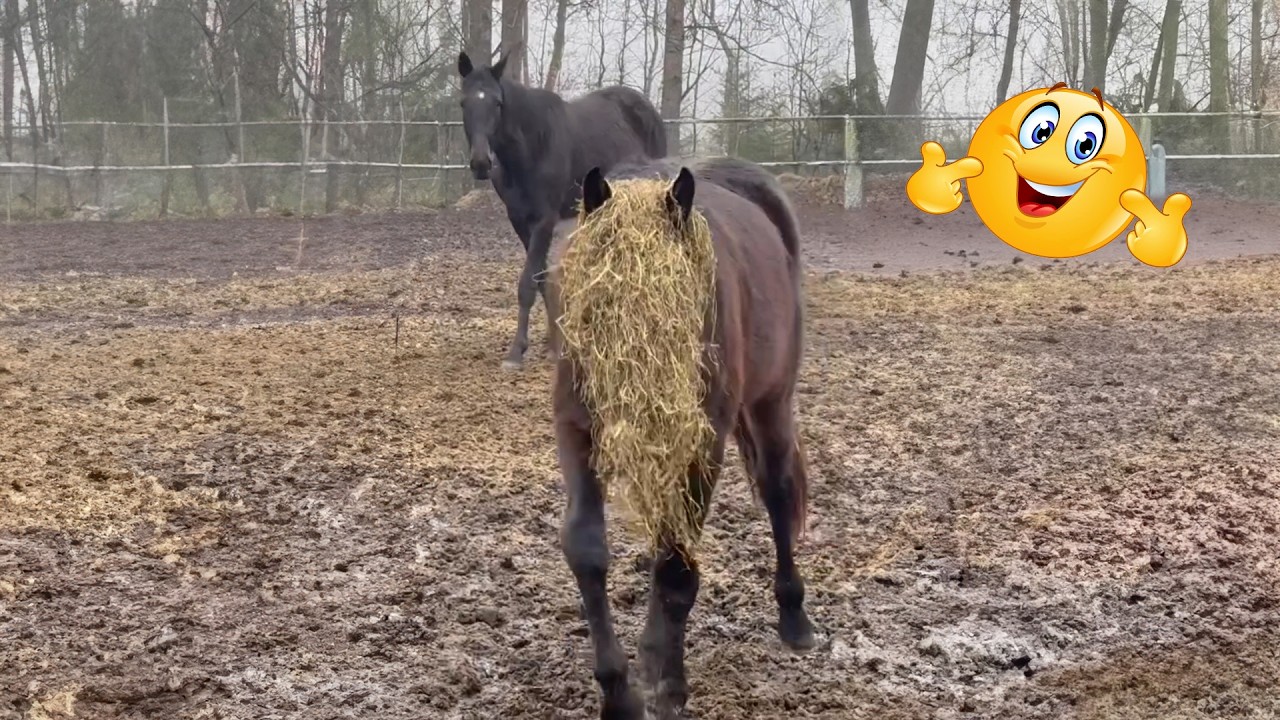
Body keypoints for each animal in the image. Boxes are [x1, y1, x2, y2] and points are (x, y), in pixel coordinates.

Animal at [456, 48, 668, 370]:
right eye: (463, 103)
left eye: (497, 103)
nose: (481, 163)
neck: (531, 146)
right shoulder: (520, 221)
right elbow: (541, 279)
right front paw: (551, 341)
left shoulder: (545, 219)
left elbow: (527, 283)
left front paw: (516, 353)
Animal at [547, 156, 814, 720]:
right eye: (594, 302)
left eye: (674, 304)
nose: (633, 395)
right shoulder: (578, 431)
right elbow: (587, 548)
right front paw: (620, 692)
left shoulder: (700, 446)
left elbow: (675, 570)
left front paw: (669, 687)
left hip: (771, 402)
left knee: (778, 494)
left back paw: (794, 617)